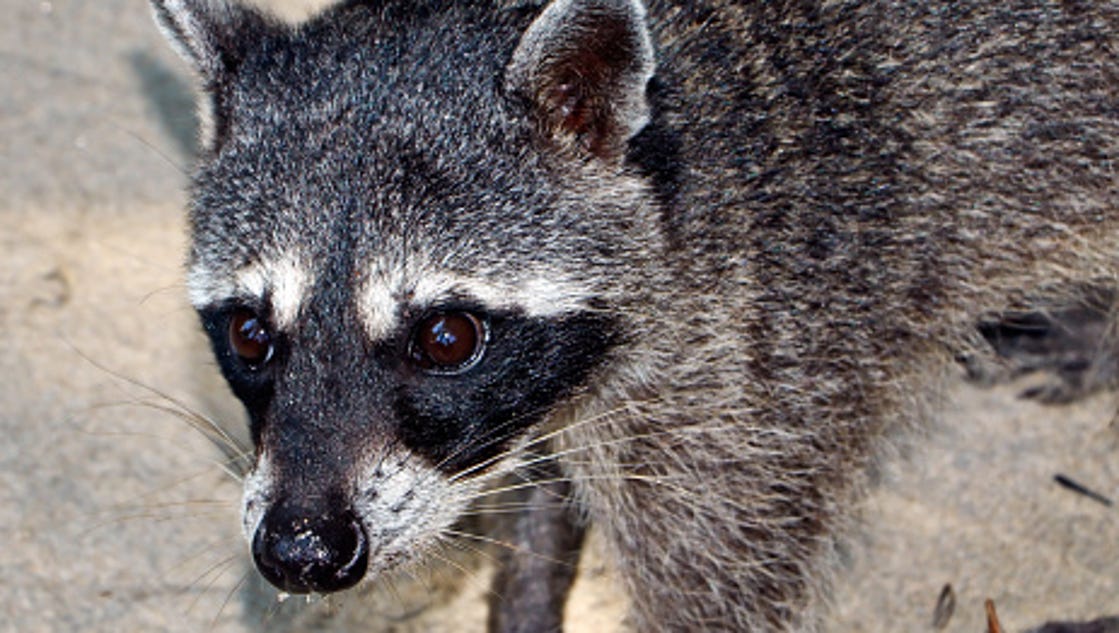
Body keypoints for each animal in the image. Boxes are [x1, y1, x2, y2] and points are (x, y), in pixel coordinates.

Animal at [150, 0, 1119, 630]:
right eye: (250, 334)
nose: (300, 550)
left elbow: (713, 589)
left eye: (446, 337)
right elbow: (541, 494)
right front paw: (526, 594)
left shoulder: (766, 361)